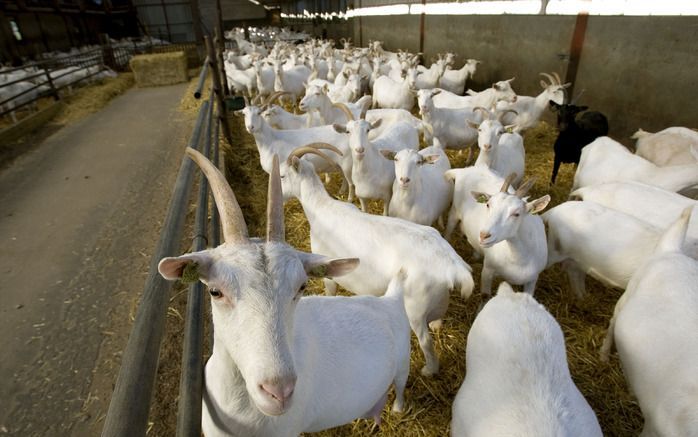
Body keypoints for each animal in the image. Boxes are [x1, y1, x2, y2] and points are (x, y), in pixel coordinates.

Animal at [158, 151, 408, 436]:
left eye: (301, 287)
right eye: (215, 291)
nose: (279, 392)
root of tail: (391, 299)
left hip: (403, 362)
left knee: (401, 387)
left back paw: (397, 409)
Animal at [278, 147, 474, 374]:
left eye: (282, 176)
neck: (321, 208)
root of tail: (453, 264)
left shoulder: (327, 269)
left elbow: (330, 291)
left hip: (415, 308)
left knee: (426, 341)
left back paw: (428, 370)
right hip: (437, 298)